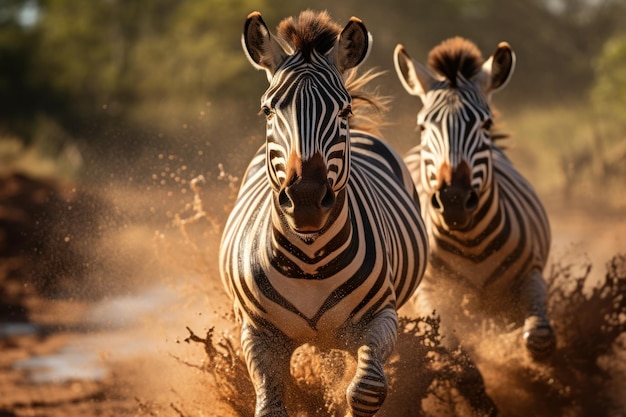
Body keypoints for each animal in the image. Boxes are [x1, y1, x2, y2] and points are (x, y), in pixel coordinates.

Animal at [217, 9, 426, 416]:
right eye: (267, 109)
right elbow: (271, 404)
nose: (306, 199)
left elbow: (365, 389)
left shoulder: (381, 317)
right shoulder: (258, 332)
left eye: (343, 109)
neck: (310, 259)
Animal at [392, 37, 552, 360]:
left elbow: (539, 336)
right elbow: (447, 345)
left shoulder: (532, 272)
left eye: (485, 125)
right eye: (422, 127)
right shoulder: (430, 291)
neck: (471, 241)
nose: (454, 199)